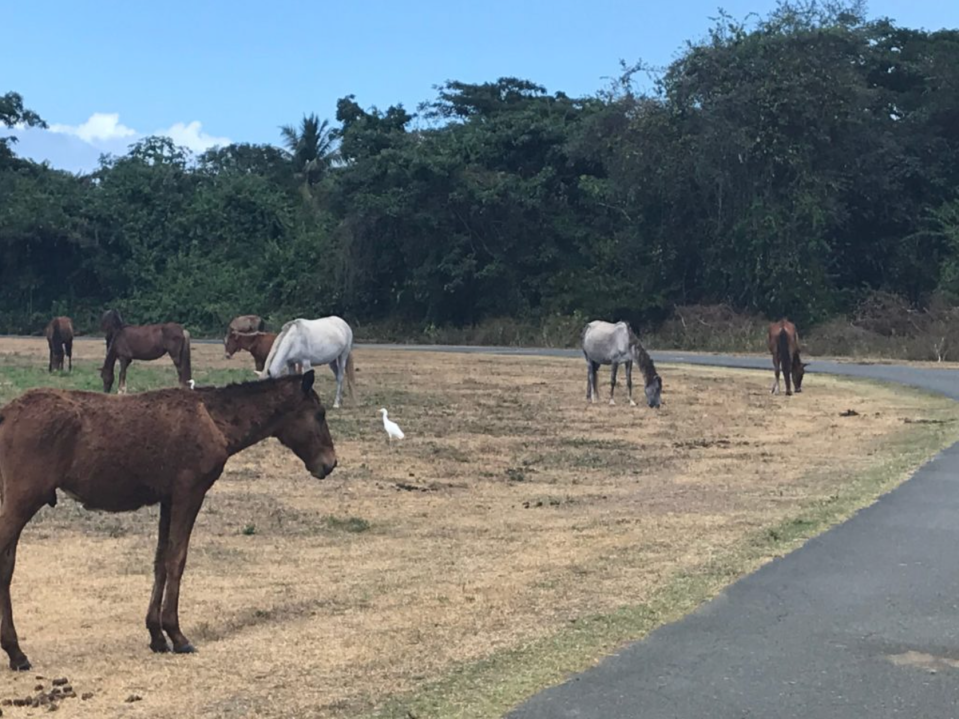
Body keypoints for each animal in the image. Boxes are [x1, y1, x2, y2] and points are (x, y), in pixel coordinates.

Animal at [0, 372, 338, 668]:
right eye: (319, 414)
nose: (330, 464)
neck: (213, 420)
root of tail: (6, 413)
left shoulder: (168, 499)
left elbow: (160, 560)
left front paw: (156, 635)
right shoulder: (190, 493)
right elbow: (177, 559)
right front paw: (177, 634)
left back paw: (15, 650)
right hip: (23, 500)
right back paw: (16, 652)